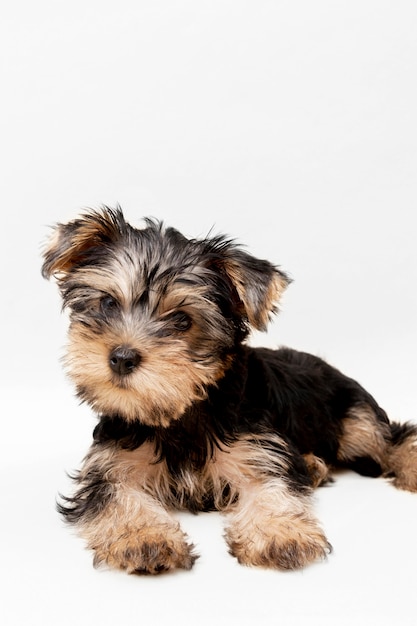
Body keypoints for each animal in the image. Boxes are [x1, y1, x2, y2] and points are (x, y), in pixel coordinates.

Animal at [41, 207, 416, 572]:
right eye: (107, 303)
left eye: (182, 321)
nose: (121, 357)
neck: (181, 412)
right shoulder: (112, 462)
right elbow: (116, 496)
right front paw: (144, 538)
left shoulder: (256, 448)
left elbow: (270, 486)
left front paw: (280, 533)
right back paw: (313, 466)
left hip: (352, 415)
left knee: (389, 437)